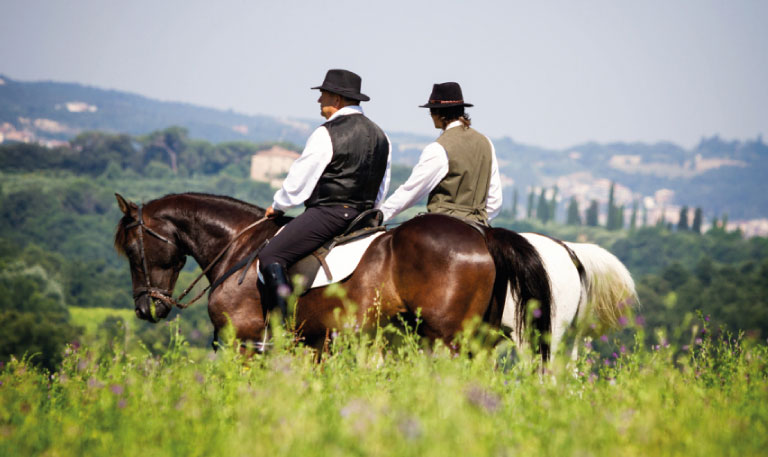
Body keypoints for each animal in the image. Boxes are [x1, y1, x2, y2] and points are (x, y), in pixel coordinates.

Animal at [114, 191, 636, 358]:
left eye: (132, 250)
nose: (146, 309)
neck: (240, 249)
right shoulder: (318, 344)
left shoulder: (243, 342)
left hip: (471, 337)